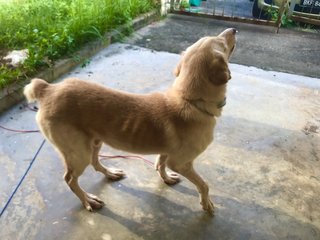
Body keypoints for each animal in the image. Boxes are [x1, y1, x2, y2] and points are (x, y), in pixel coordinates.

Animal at [23, 28, 236, 216]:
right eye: (222, 43)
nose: (234, 29)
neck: (190, 99)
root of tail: (48, 89)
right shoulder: (181, 163)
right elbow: (203, 184)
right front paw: (206, 203)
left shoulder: (167, 151)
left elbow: (160, 164)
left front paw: (165, 178)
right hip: (78, 153)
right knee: (69, 179)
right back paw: (87, 200)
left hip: (94, 143)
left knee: (95, 162)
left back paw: (109, 173)